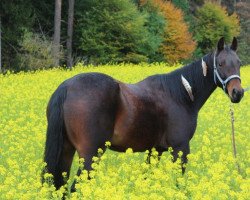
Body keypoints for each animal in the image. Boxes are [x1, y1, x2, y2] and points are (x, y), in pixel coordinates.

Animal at [41, 37, 244, 192]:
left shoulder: (154, 150)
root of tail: (67, 87)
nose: (238, 93)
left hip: (67, 151)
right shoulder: (180, 148)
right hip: (90, 155)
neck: (180, 94)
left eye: (239, 63)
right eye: (220, 63)